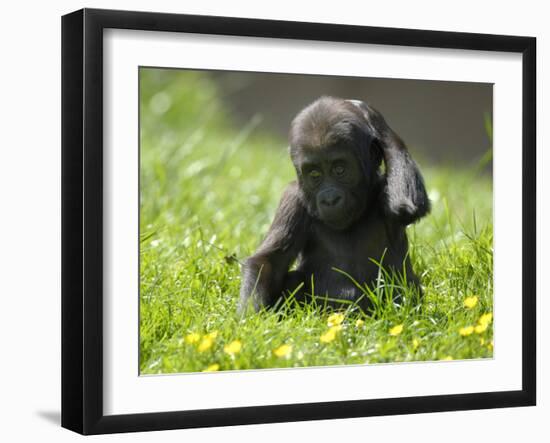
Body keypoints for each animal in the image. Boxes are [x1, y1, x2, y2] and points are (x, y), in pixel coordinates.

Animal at [237, 96, 432, 314]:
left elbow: (406, 206)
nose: (330, 199)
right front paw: (250, 317)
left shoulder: (386, 190)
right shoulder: (293, 198)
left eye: (339, 170)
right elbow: (267, 262)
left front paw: (370, 115)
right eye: (315, 174)